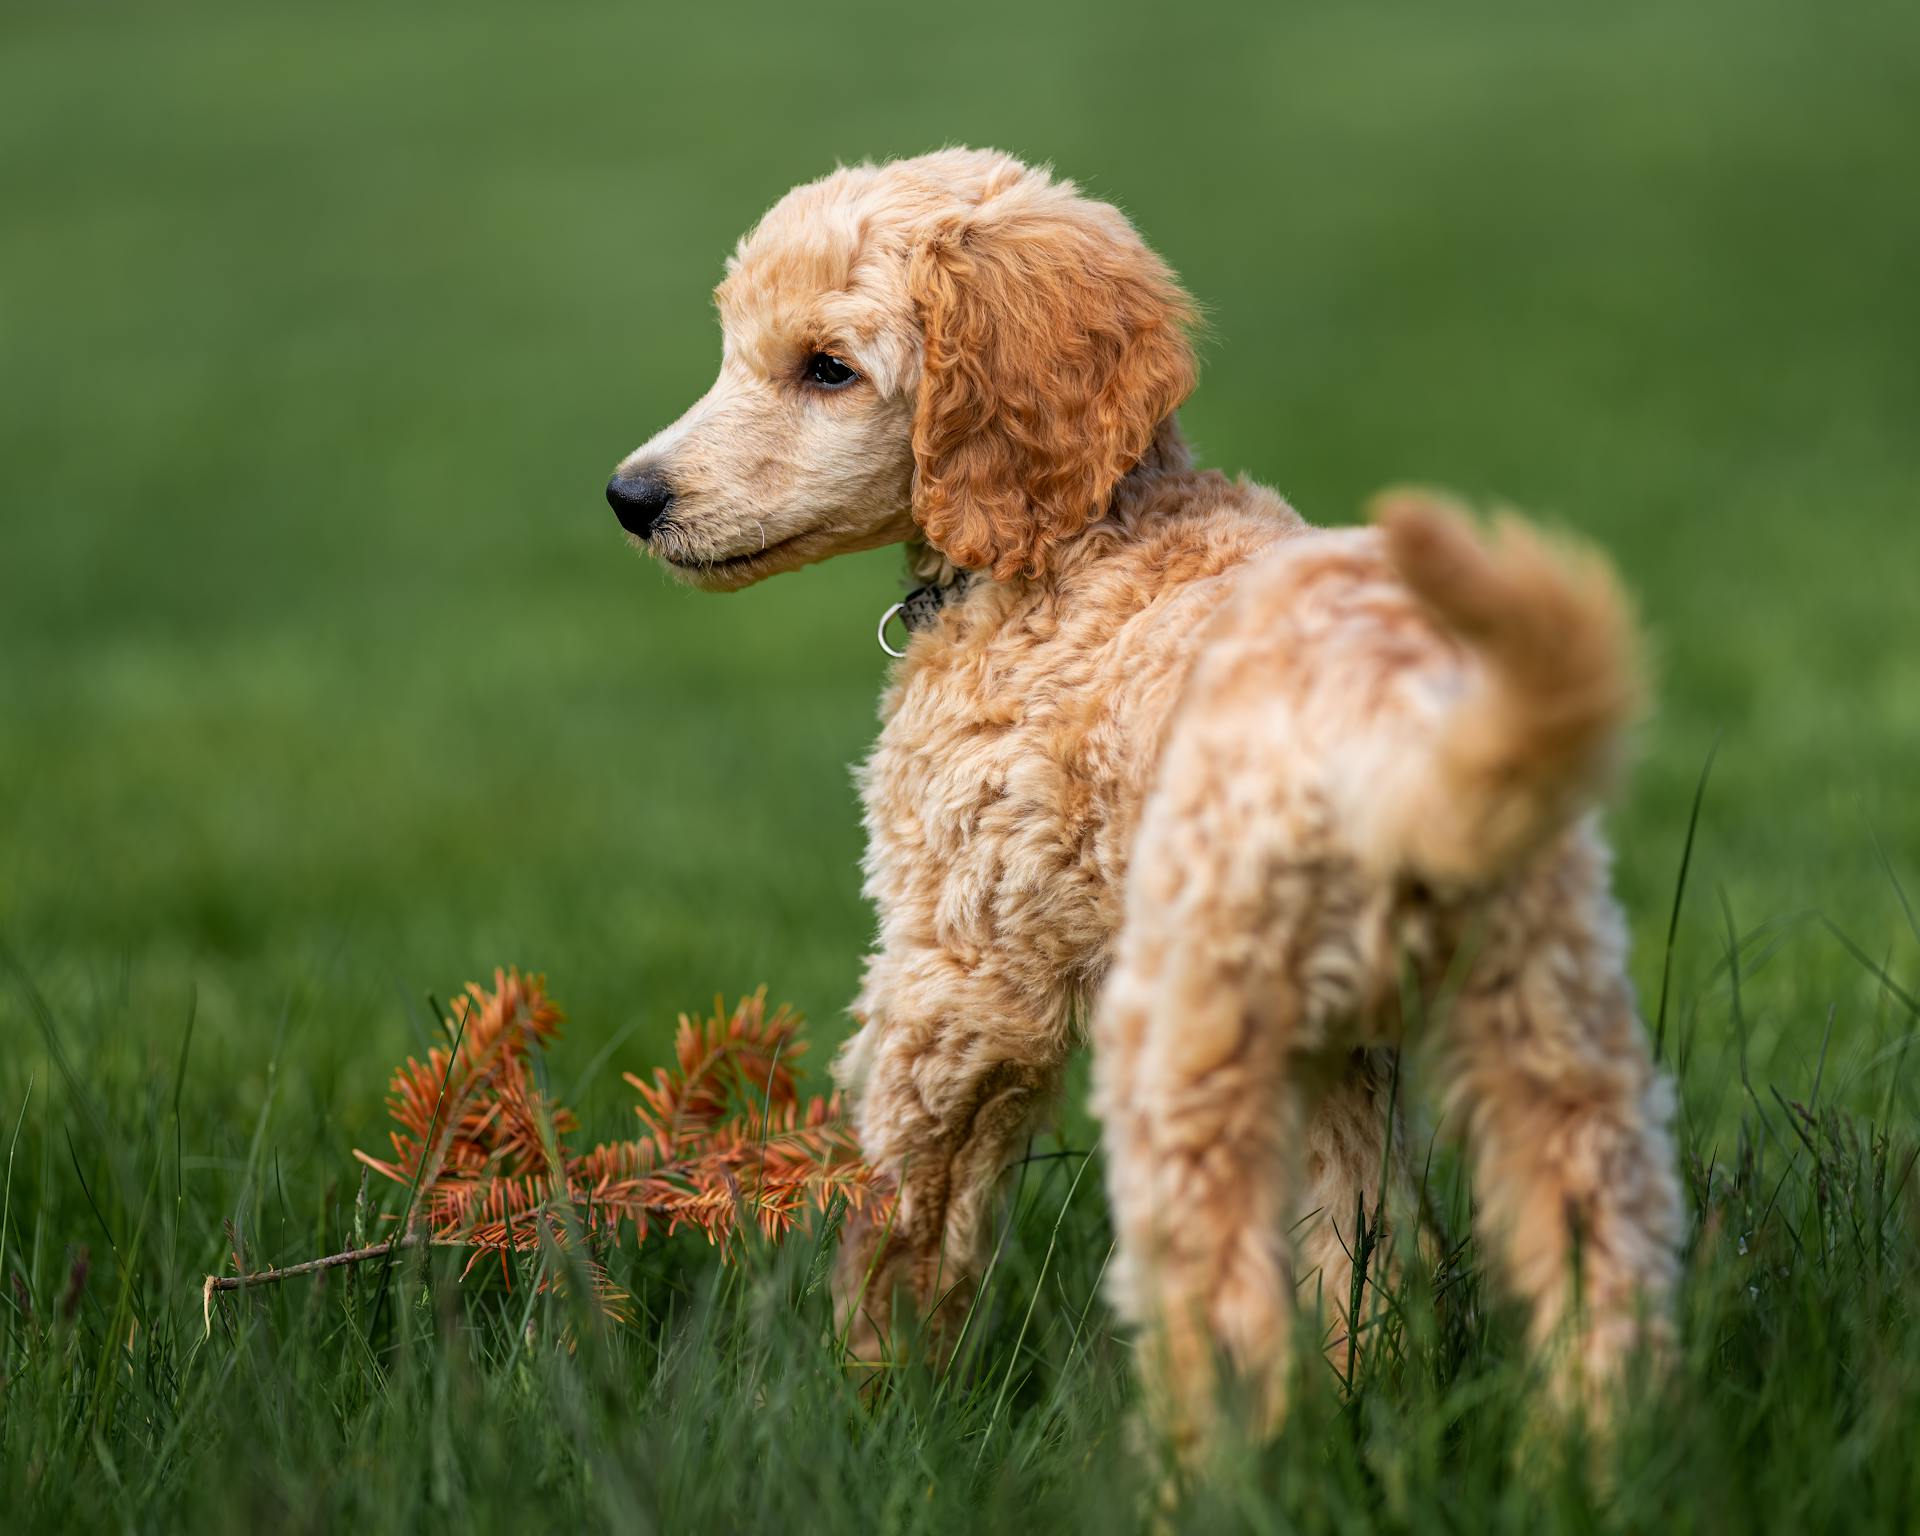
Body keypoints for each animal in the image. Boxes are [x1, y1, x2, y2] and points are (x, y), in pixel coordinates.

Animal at [602, 149, 1681, 1459]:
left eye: (827, 368)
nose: (630, 496)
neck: (1083, 537)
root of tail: (1403, 725)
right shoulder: (1342, 1051)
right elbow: (1356, 1238)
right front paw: (1363, 1380)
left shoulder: (961, 973)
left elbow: (906, 1211)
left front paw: (858, 1407)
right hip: (1549, 1011)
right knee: (1601, 1244)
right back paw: (1594, 1467)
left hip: (1181, 1027)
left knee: (1214, 1302)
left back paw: (1204, 1477)